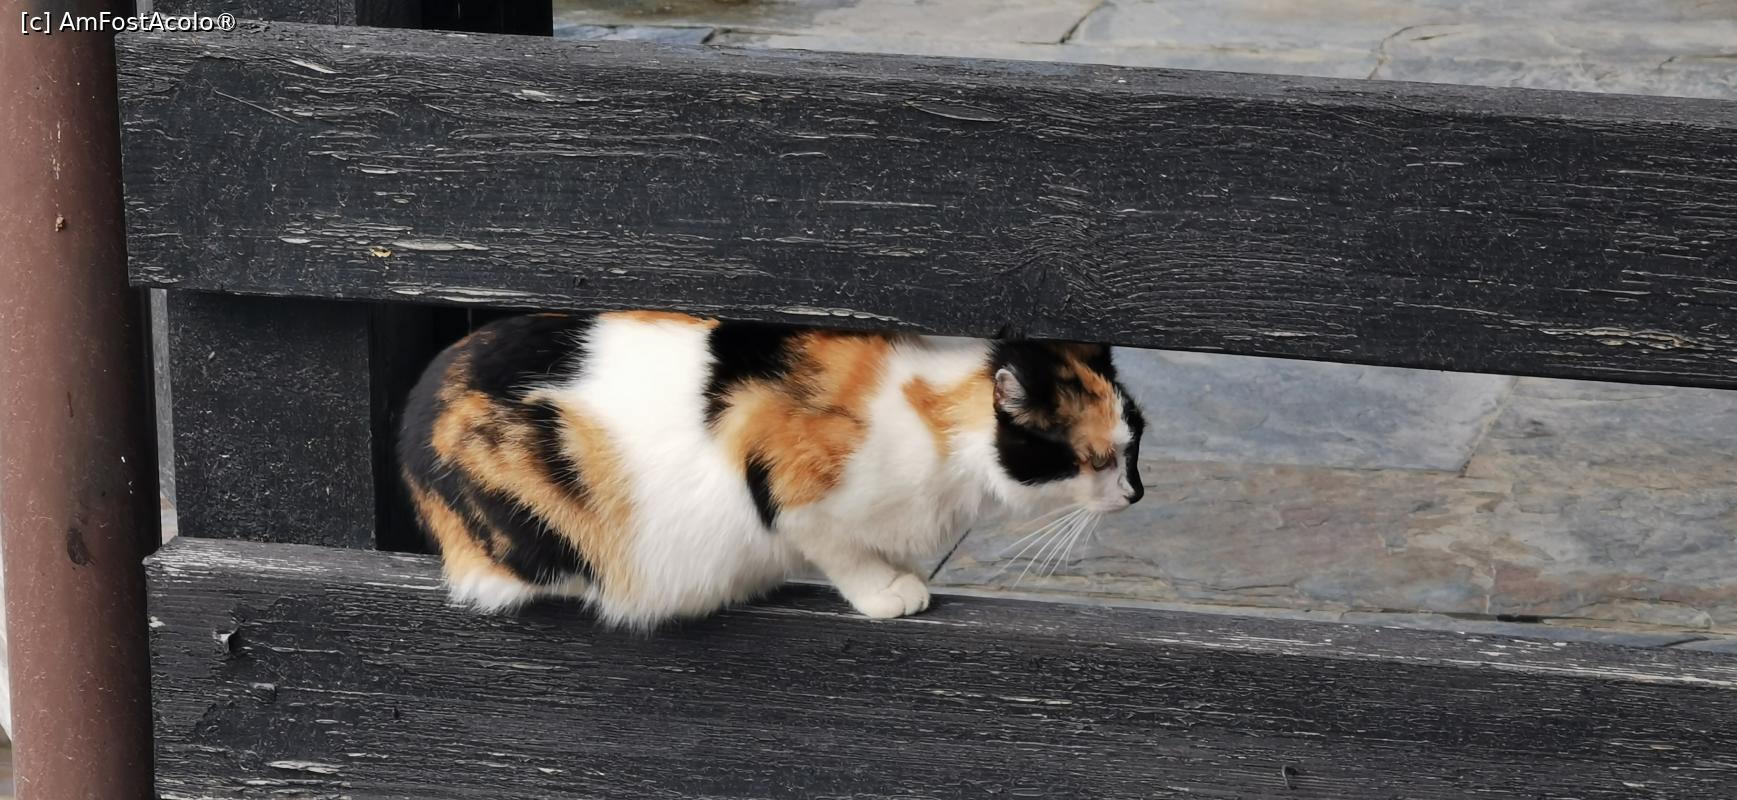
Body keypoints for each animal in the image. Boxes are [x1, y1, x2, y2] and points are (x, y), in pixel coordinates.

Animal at [398, 311, 1146, 629]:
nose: (1135, 494)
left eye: (1134, 442)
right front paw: (888, 591)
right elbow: (837, 549)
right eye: (1096, 459)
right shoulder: (789, 486)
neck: (936, 420)